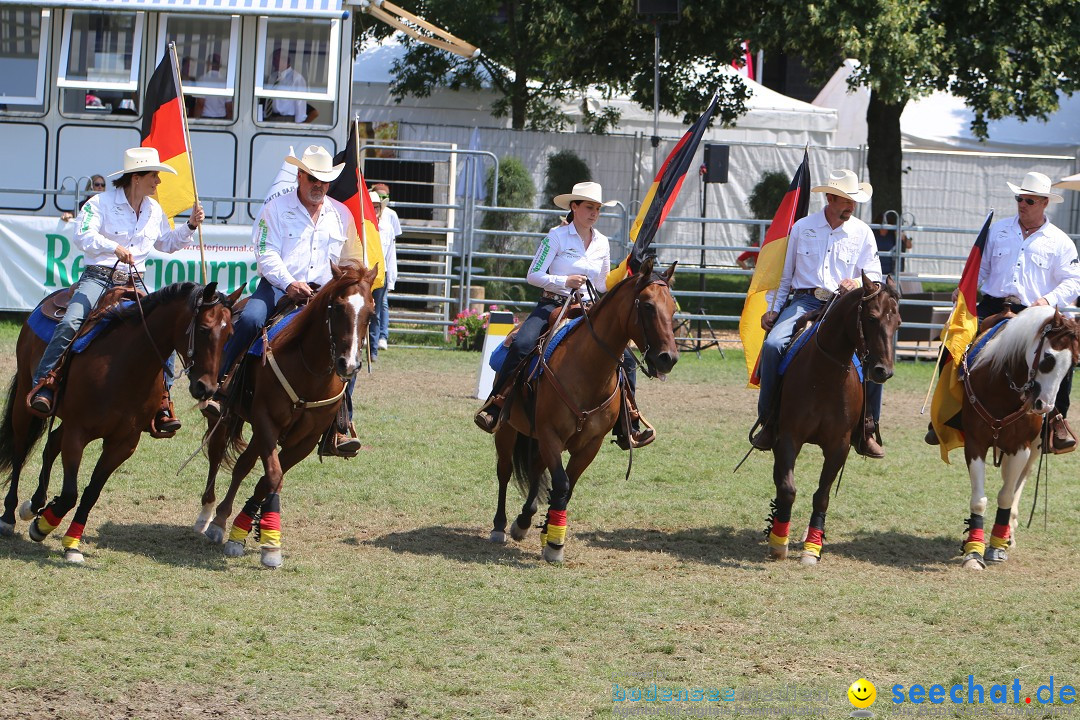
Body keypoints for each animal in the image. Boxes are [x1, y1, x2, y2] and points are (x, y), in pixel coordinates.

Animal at [0, 280, 238, 561]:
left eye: (230, 334)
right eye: (203, 329)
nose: (207, 388)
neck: (126, 366)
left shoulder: (123, 443)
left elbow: (91, 493)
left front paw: (70, 542)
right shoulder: (77, 432)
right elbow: (71, 493)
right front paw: (43, 526)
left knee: (51, 445)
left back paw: (35, 503)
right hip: (25, 399)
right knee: (19, 452)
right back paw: (9, 517)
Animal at [196, 263, 378, 569]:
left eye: (371, 312)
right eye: (338, 307)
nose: (349, 365)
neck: (309, 370)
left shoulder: (305, 440)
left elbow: (268, 479)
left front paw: (250, 530)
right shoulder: (266, 421)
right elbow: (272, 475)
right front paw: (269, 544)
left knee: (242, 465)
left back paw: (223, 518)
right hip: (226, 417)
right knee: (217, 454)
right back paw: (210, 518)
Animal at [494, 257, 678, 561]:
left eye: (673, 309)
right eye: (648, 306)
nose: (668, 359)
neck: (587, 370)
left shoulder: (590, 443)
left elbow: (566, 487)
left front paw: (550, 534)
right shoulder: (550, 434)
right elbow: (561, 483)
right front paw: (555, 544)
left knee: (536, 469)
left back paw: (524, 521)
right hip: (507, 429)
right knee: (505, 471)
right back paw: (499, 526)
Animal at [764, 274, 907, 561]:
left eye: (897, 322)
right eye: (872, 317)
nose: (883, 371)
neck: (824, 375)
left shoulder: (838, 446)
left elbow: (822, 496)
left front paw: (812, 548)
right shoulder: (788, 438)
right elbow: (787, 489)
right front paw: (778, 542)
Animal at [954, 306, 1080, 569]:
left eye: (1073, 364)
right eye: (1048, 358)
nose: (1044, 406)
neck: (1001, 388)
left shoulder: (1020, 447)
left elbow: (1006, 495)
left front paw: (997, 547)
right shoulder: (975, 444)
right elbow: (979, 499)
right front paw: (974, 552)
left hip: (1034, 450)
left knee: (1019, 483)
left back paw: (1008, 534)